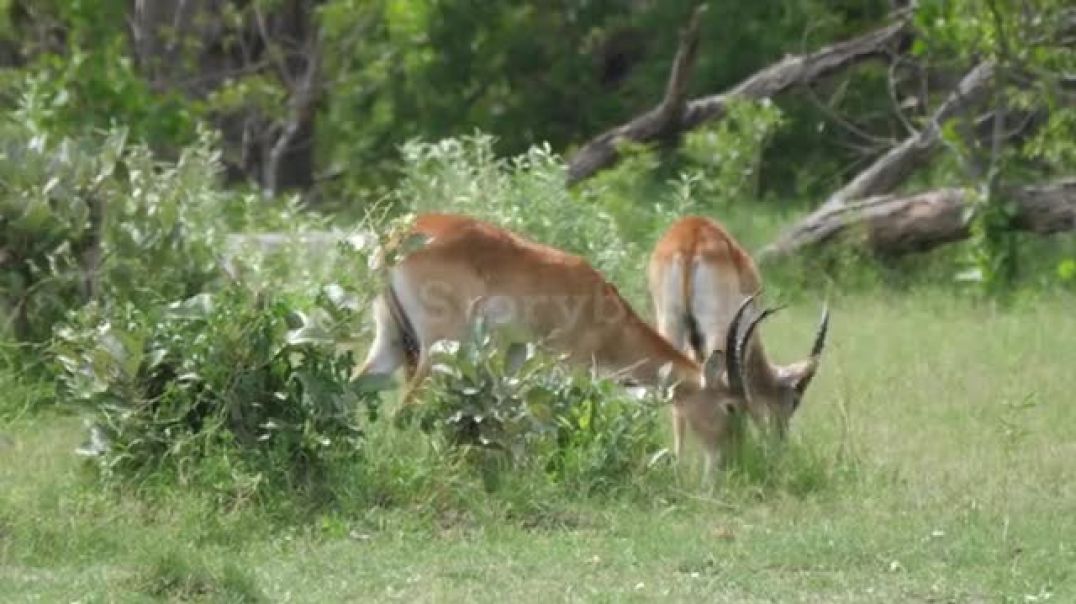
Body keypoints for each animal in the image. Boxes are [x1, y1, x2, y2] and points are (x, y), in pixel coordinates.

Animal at [361, 214, 766, 478]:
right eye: (731, 406)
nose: (732, 462)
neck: (604, 311)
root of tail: (397, 239)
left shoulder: (516, 360)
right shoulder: (567, 368)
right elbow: (548, 421)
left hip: (390, 341)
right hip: (439, 349)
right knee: (405, 411)